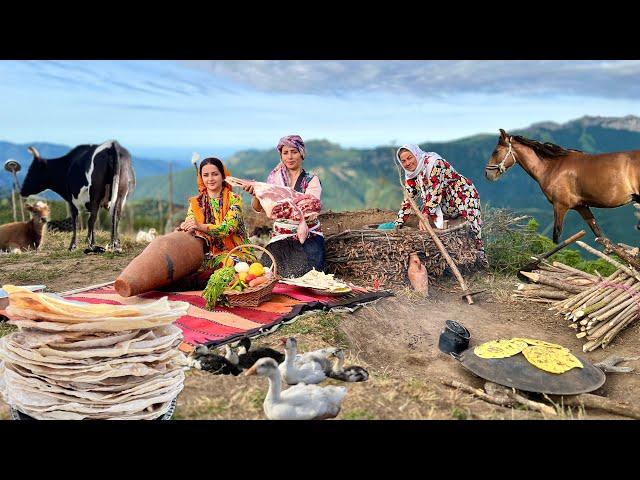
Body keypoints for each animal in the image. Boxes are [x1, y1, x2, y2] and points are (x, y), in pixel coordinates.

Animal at [484, 129, 640, 244]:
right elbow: (599, 234)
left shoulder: (560, 206)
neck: (552, 167)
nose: (487, 174)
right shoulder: (582, 207)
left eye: (496, 151)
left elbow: (556, 236)